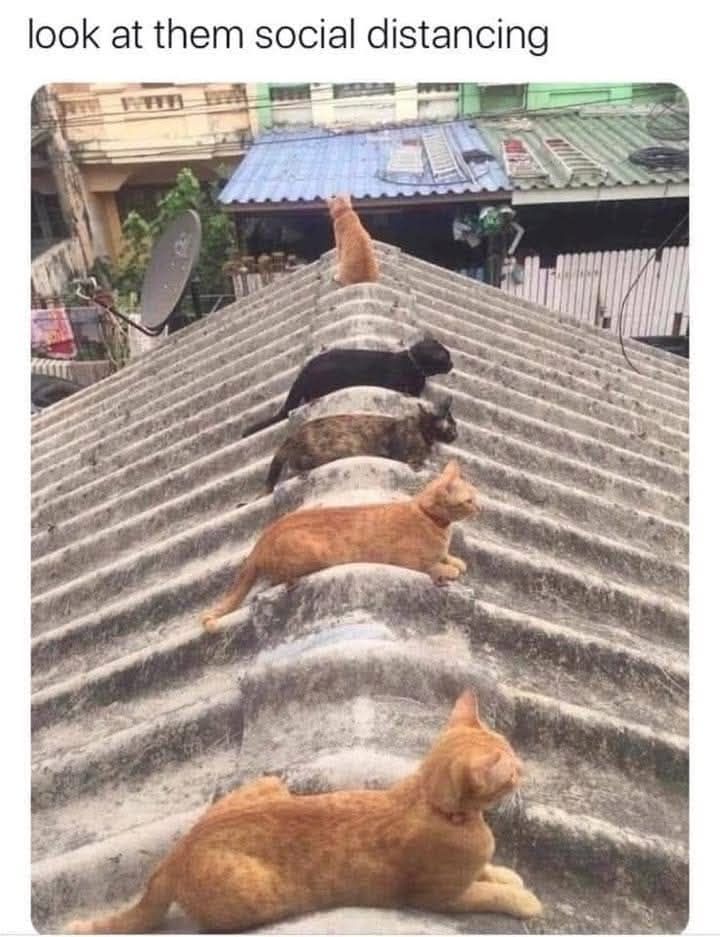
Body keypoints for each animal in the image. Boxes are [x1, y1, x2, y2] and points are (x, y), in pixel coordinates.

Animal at [66, 689, 542, 933]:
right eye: (512, 766)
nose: (525, 767)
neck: (430, 802)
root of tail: (174, 855)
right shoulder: (438, 897)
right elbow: (486, 892)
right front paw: (523, 899)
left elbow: (488, 871)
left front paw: (506, 873)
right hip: (252, 891)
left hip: (272, 782)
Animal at [201, 459, 477, 632]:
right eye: (469, 500)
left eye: (475, 496)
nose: (481, 507)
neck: (430, 518)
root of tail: (261, 540)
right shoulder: (409, 561)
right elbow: (434, 566)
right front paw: (449, 569)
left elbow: (447, 557)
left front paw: (456, 561)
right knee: (277, 579)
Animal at [265, 398, 458, 492]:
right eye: (452, 427)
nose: (457, 434)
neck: (420, 427)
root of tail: (292, 435)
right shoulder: (405, 454)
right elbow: (421, 461)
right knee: (292, 465)